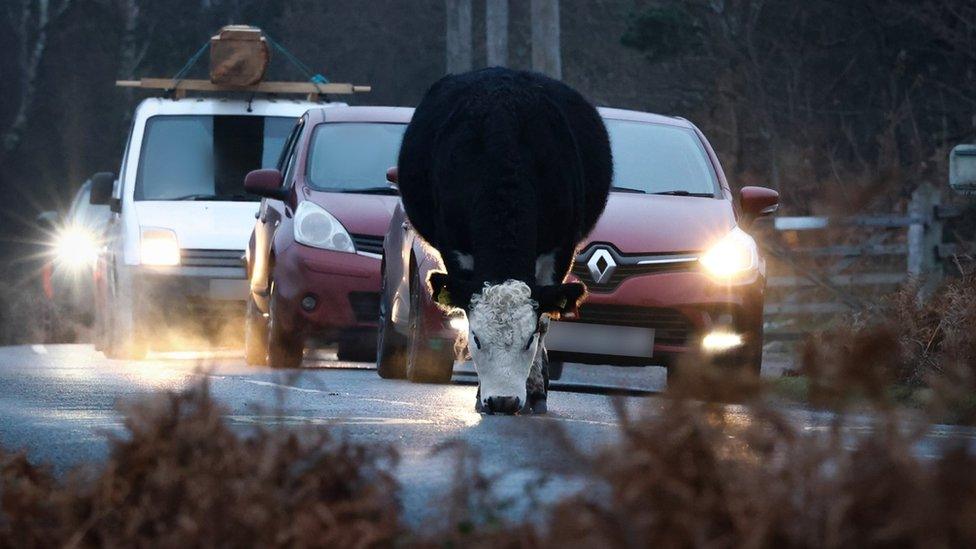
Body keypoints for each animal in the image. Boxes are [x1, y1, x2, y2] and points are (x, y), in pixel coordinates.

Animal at [396, 67, 608, 412]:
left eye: (528, 340)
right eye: (477, 339)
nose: (503, 401)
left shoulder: (559, 249)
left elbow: (546, 317)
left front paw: (535, 390)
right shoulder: (454, 248)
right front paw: (481, 395)